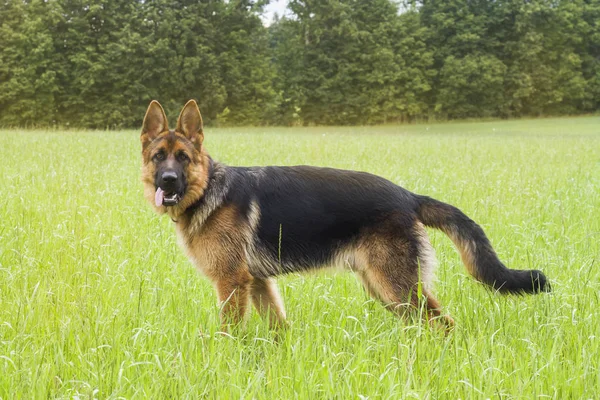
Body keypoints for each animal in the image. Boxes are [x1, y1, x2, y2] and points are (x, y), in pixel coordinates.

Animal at [139, 100, 548, 332]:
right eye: (159, 157)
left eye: (183, 158)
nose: (168, 181)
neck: (208, 189)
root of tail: (407, 196)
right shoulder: (257, 283)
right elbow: (278, 328)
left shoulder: (231, 283)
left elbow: (231, 333)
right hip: (384, 289)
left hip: (395, 287)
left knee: (444, 325)